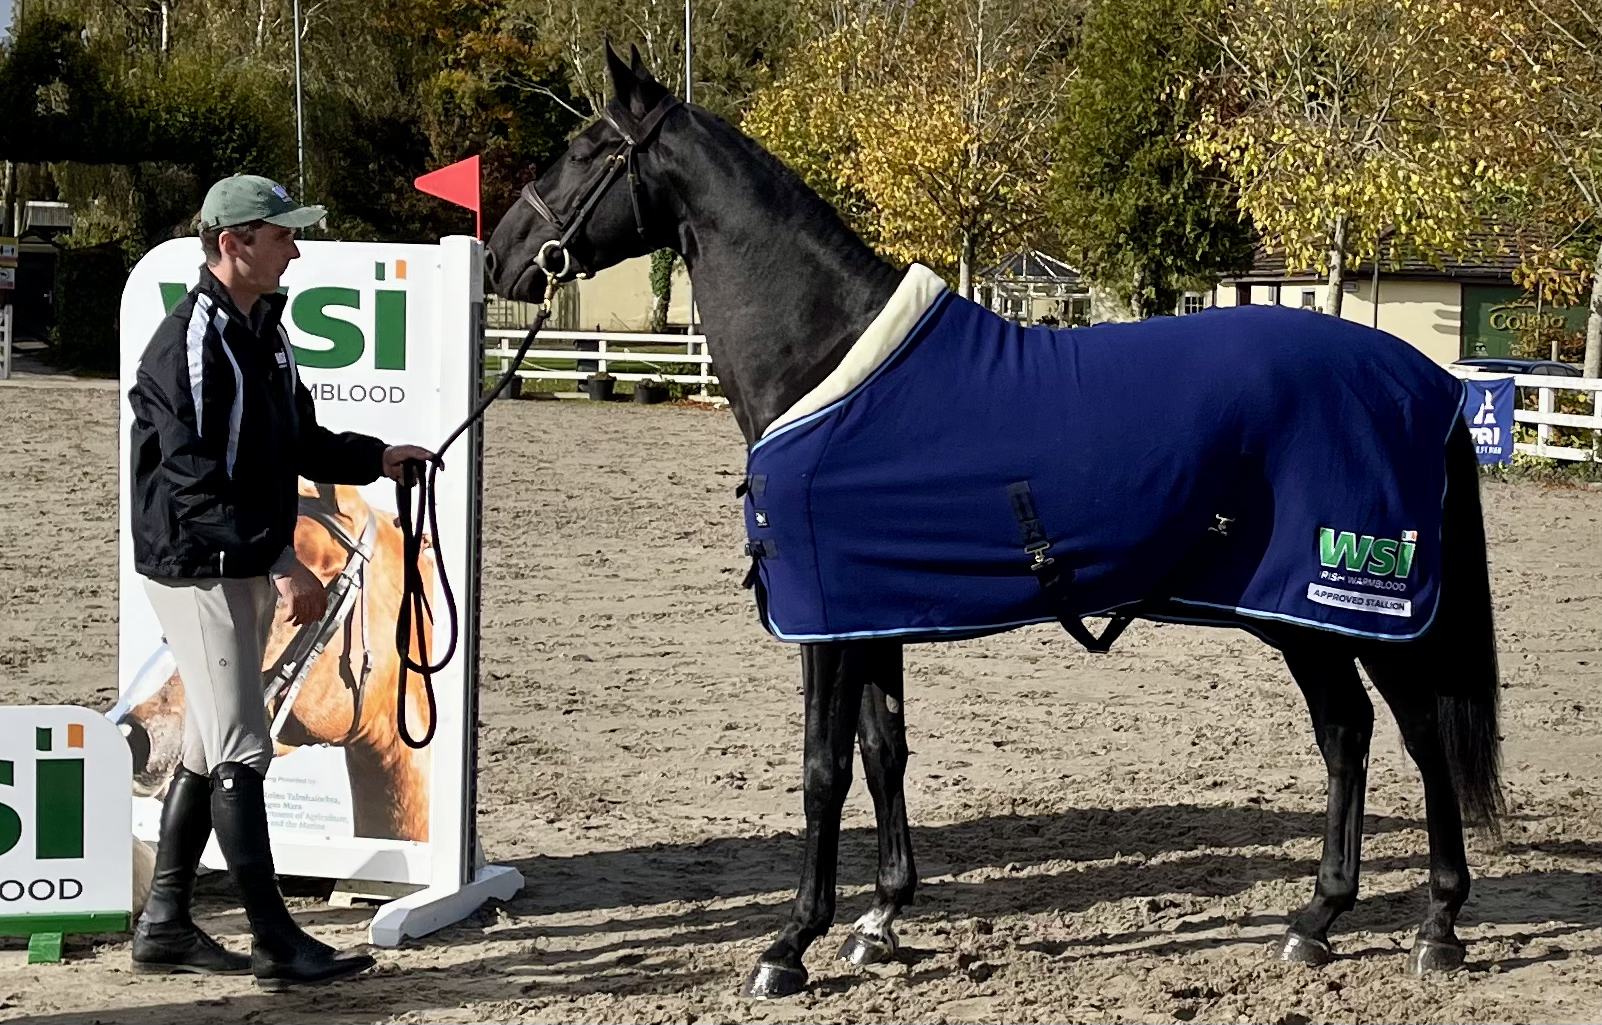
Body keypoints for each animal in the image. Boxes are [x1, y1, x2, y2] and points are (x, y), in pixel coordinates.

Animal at [483, 44, 1504, 998]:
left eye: (586, 149)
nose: (499, 254)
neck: (827, 354)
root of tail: (1428, 381)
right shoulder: (869, 609)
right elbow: (883, 751)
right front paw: (880, 920)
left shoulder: (824, 624)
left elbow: (821, 771)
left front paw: (789, 944)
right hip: (1298, 615)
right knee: (1349, 735)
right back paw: (1319, 919)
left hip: (1356, 608)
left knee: (1417, 738)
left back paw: (1439, 926)